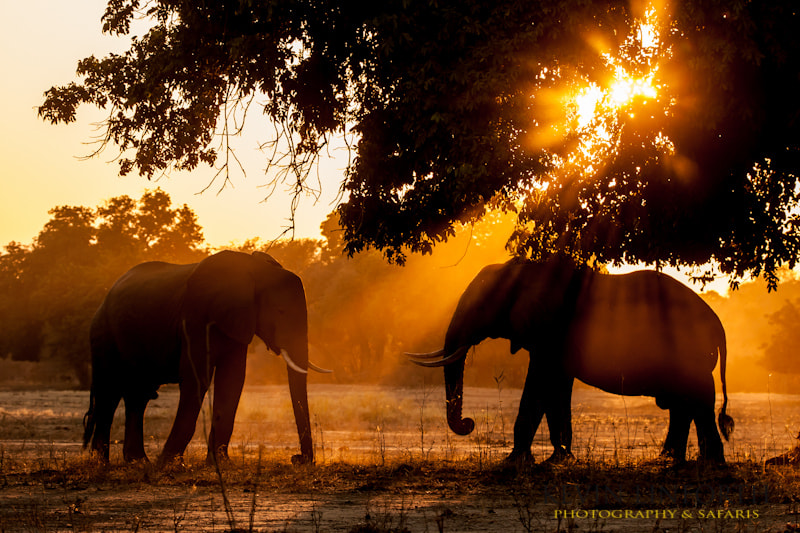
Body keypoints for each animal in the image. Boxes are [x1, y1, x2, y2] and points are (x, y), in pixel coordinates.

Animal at [83, 250, 330, 466]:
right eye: (280, 311)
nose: (298, 459)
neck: (254, 270)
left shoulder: (236, 324)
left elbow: (232, 381)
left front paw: (221, 463)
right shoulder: (195, 318)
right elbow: (196, 379)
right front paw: (169, 464)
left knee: (137, 395)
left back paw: (137, 462)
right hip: (103, 334)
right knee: (109, 394)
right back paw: (102, 463)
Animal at [408, 257, 734, 463]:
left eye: (480, 306)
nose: (469, 423)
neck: (527, 269)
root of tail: (719, 326)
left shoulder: (552, 330)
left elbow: (540, 384)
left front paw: (515, 462)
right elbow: (556, 388)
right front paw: (559, 458)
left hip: (691, 352)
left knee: (698, 399)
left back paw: (709, 463)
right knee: (684, 403)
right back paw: (670, 459)